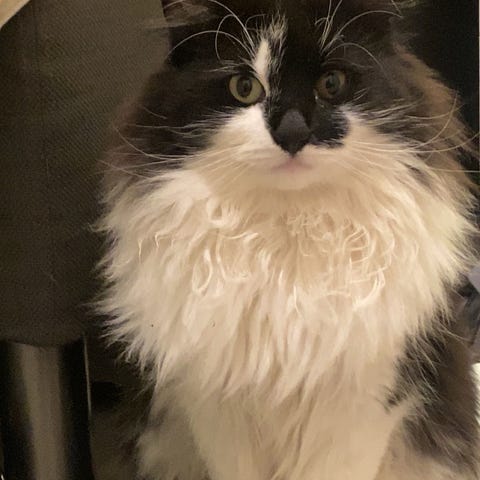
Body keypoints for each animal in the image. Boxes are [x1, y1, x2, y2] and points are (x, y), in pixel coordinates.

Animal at [98, 0, 480, 479]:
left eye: (331, 84)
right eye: (244, 87)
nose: (294, 133)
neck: (289, 235)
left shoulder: (363, 403)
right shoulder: (217, 407)